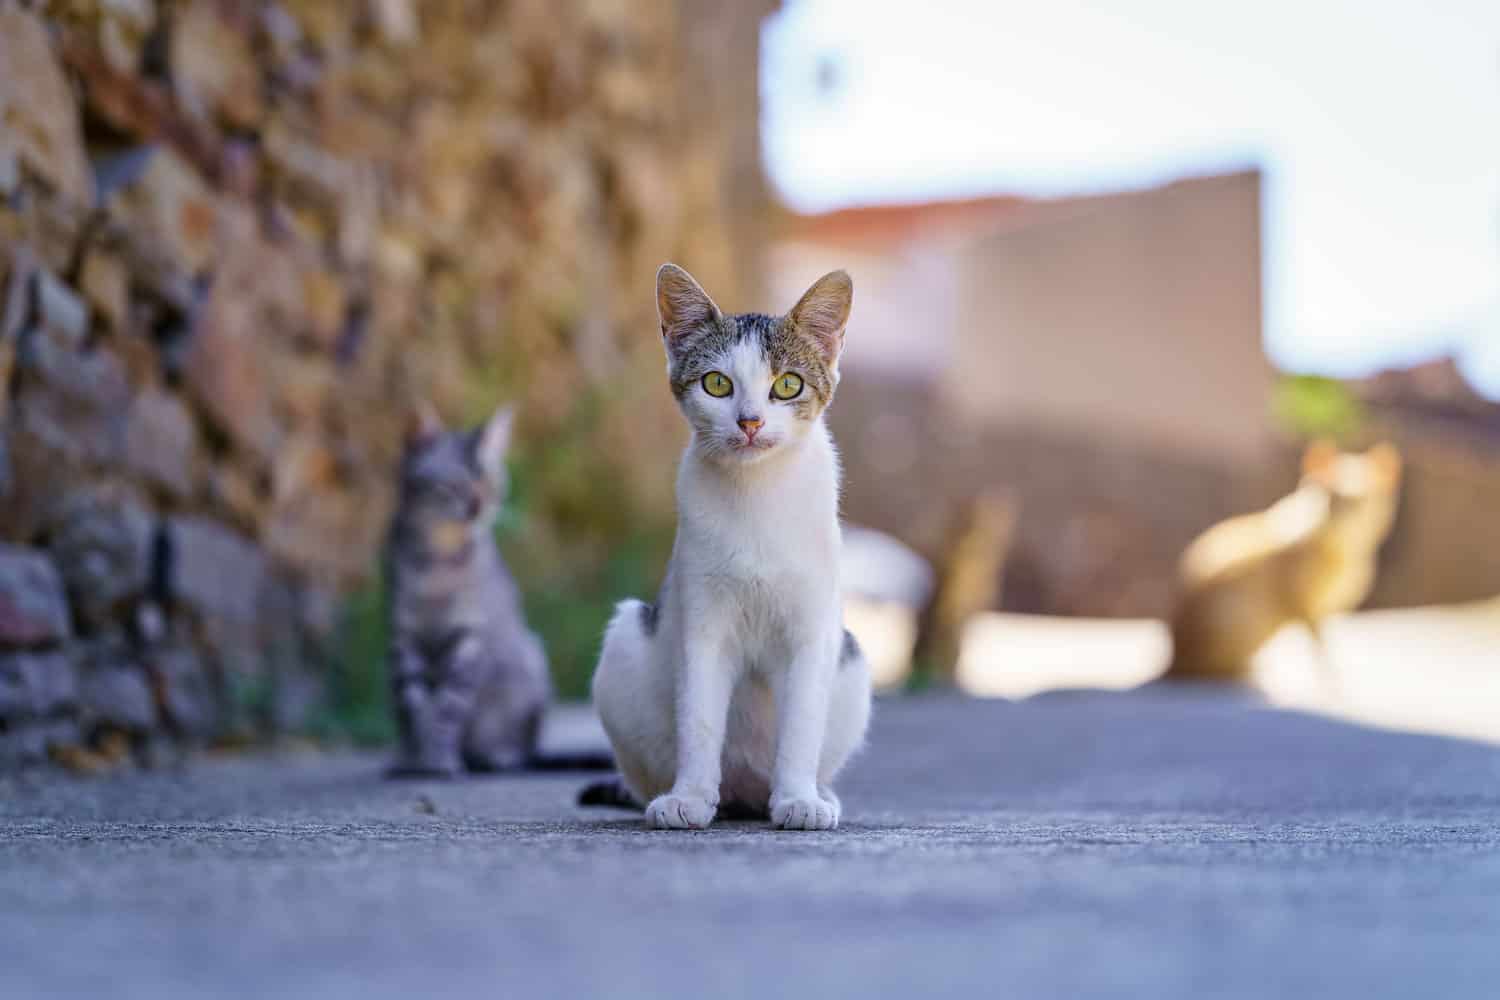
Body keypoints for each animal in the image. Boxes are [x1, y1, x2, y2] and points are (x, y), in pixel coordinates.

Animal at [384, 401, 612, 779]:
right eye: (455, 483)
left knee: (520, 750)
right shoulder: (403, 637)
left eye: (489, 483)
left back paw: (495, 756)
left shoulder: (469, 638)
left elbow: (448, 708)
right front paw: (417, 758)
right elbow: (414, 705)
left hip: (530, 660)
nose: (478, 506)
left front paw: (440, 759)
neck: (437, 561)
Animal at [582, 263, 876, 827]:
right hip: (625, 640)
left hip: (851, 662)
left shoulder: (812, 630)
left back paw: (814, 794)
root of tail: (743, 790)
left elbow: (802, 722)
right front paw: (689, 798)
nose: (750, 421)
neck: (755, 495)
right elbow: (698, 717)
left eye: (788, 385)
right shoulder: (702, 622)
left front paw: (799, 800)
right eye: (717, 384)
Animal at [1164, 440, 1398, 683]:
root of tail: (1176, 658)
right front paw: (1332, 677)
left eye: (1365, 500)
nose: (1350, 514)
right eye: (1334, 499)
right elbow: (1319, 645)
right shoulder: (1303, 603)